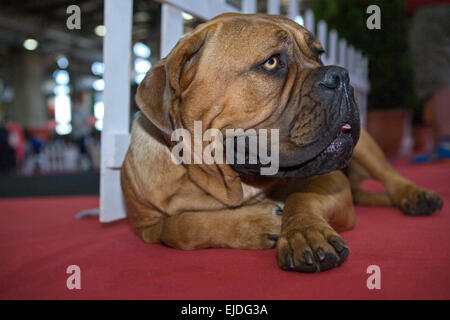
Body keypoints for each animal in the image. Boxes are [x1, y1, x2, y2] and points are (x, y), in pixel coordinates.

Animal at [120, 13, 442, 272]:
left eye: (319, 54)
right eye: (272, 62)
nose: (341, 75)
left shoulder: (332, 183)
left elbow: (302, 197)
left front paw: (305, 232)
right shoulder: (147, 224)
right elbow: (178, 226)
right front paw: (254, 224)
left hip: (366, 149)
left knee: (389, 176)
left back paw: (415, 196)